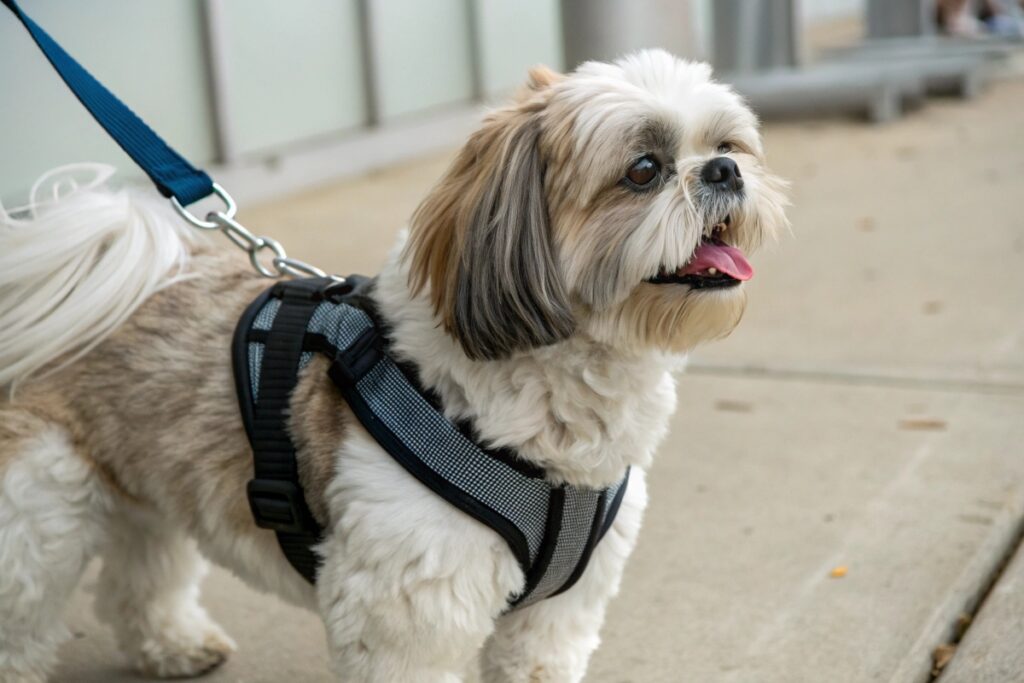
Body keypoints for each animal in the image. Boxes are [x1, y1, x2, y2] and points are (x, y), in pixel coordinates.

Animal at [0, 49, 786, 683]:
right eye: (644, 170)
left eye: (727, 145)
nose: (725, 170)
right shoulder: (408, 610)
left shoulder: (557, 614)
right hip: (38, 517)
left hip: (141, 484)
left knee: (140, 573)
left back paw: (172, 643)